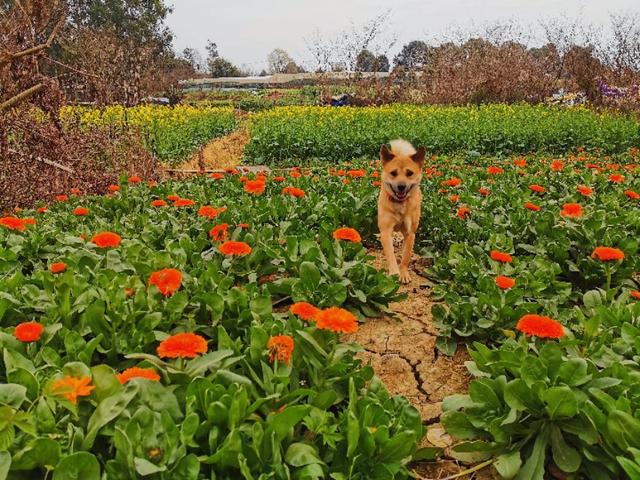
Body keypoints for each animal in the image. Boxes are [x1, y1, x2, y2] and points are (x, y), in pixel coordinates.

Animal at [378, 139, 422, 284]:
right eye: (393, 173)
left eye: (409, 173)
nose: (401, 186)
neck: (399, 204)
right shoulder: (386, 231)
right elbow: (390, 254)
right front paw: (394, 272)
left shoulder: (410, 233)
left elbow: (406, 256)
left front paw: (403, 273)